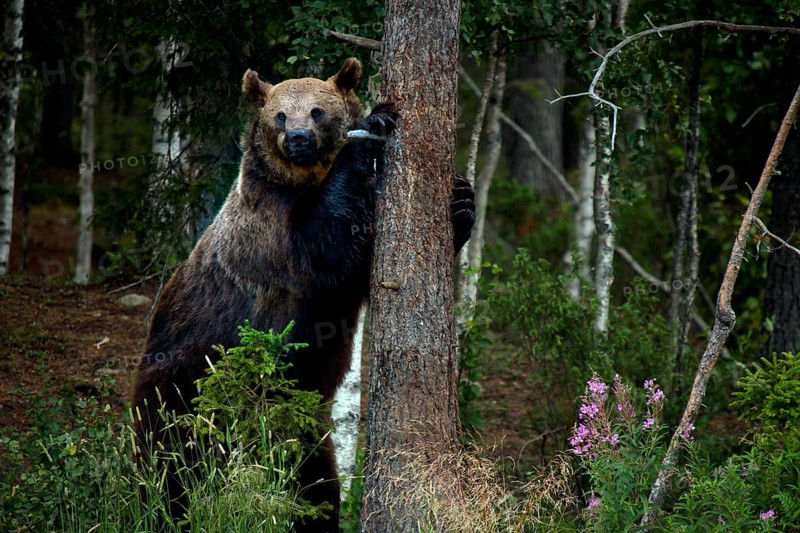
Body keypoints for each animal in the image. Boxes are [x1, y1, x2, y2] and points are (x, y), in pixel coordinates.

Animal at [132, 57, 475, 532]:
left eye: (317, 110)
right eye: (279, 114)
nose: (298, 138)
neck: (303, 179)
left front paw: (462, 202)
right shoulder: (270, 227)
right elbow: (320, 247)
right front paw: (373, 126)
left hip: (300, 418)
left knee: (312, 485)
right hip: (186, 382)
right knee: (171, 465)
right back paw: (165, 508)